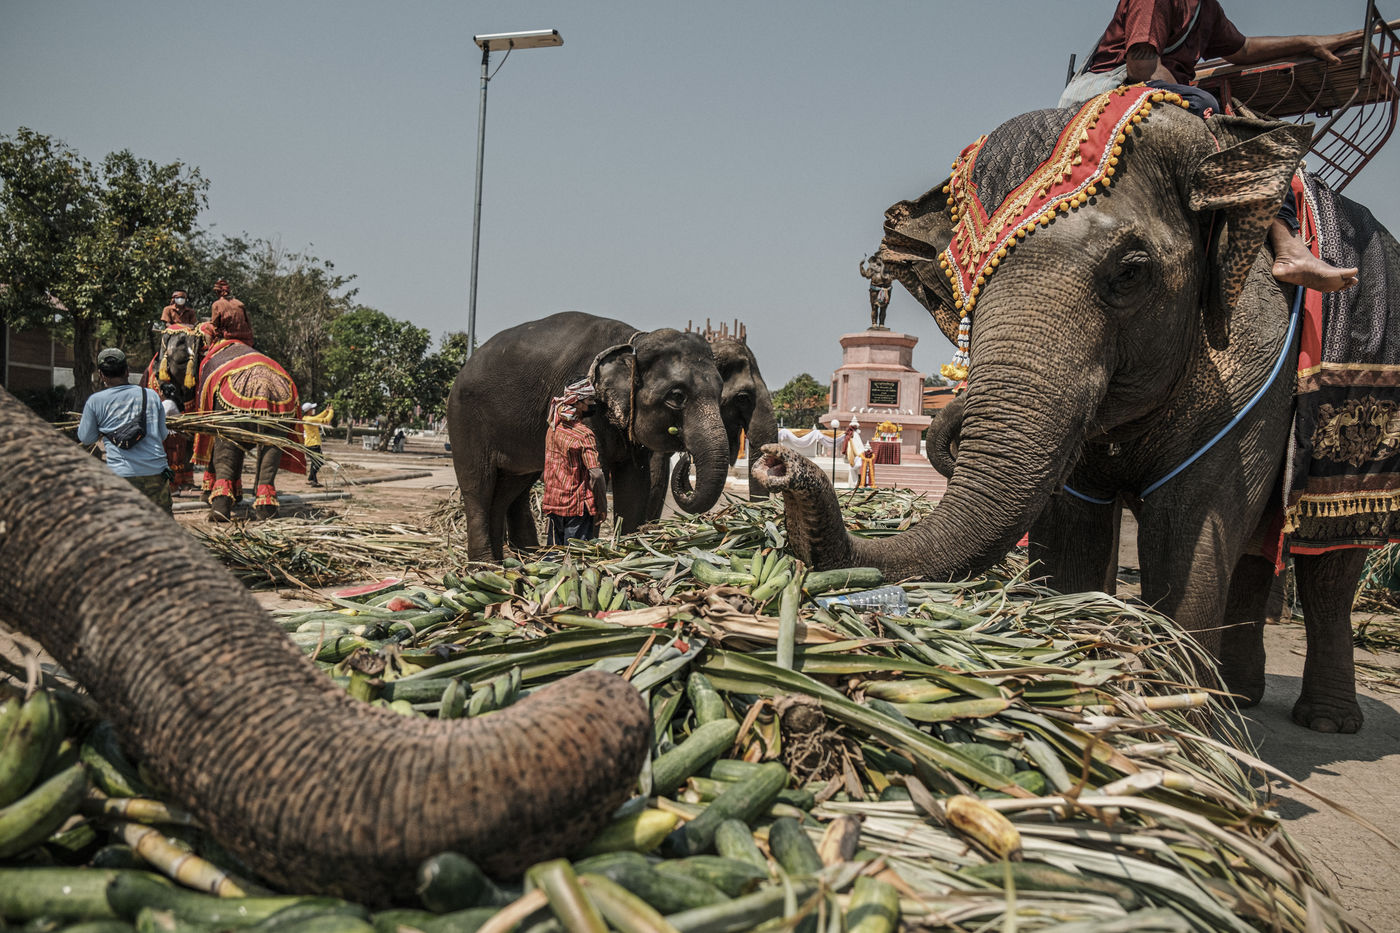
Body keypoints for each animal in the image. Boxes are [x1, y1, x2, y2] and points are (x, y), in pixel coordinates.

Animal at [154, 323, 301, 521]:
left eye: (168, 360)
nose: (160, 380)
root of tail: (263, 388)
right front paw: (237, 498)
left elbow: (210, 440)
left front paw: (206, 497)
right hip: (278, 417)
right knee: (271, 454)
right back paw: (266, 513)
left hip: (232, 410)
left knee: (225, 452)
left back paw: (217, 514)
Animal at [447, 312, 732, 561]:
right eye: (676, 396)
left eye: (720, 393)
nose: (685, 458)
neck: (632, 344)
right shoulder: (589, 412)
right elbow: (598, 472)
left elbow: (634, 481)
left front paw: (627, 550)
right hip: (464, 421)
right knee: (478, 486)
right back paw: (484, 565)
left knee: (511, 488)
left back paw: (514, 561)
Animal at [756, 91, 1400, 734]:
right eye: (960, 289)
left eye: (1131, 272)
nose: (777, 462)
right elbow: (1071, 531)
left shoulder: (1255, 361)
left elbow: (1193, 528)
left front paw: (1187, 730)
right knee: (1259, 553)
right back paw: (1240, 697)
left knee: (1329, 563)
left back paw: (1323, 721)